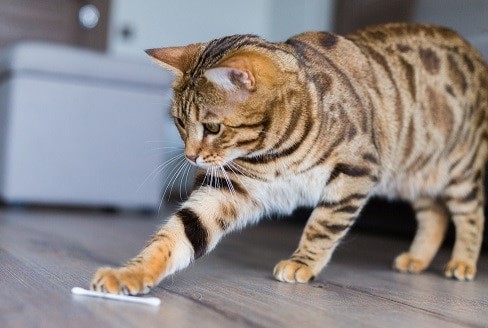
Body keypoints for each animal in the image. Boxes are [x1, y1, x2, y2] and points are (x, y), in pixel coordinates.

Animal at [90, 23, 488, 294]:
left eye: (212, 127)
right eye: (178, 124)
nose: (191, 157)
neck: (273, 153)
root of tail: (475, 53)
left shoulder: (355, 170)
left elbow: (323, 225)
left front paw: (302, 263)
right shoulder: (227, 189)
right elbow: (176, 236)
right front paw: (130, 273)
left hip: (459, 170)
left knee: (470, 214)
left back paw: (462, 262)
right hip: (415, 176)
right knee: (435, 215)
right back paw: (417, 258)